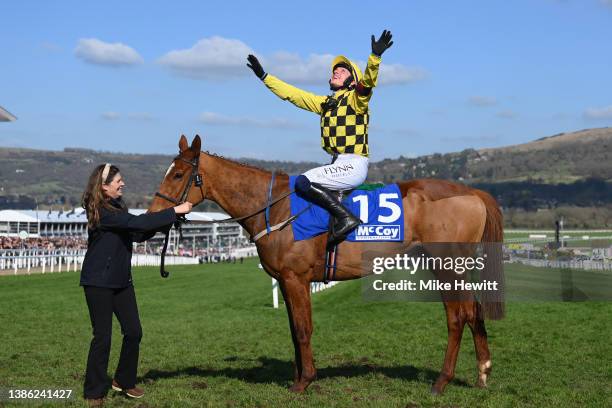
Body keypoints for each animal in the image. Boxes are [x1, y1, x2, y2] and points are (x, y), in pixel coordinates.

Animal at [148, 135, 502, 396]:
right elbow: (294, 329)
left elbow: (304, 329)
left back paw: (441, 381)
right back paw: (482, 373)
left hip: (446, 266)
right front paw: (298, 375)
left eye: (178, 174)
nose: (154, 216)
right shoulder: (286, 280)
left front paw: (304, 381)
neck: (274, 207)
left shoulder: (296, 278)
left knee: (457, 317)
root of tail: (472, 191)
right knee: (474, 312)